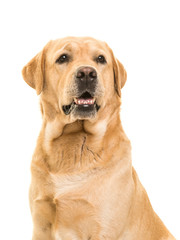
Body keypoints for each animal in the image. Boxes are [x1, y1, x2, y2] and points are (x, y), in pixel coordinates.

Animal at [21, 37, 175, 240]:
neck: (73, 144)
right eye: (63, 58)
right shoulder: (41, 226)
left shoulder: (103, 228)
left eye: (100, 59)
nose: (87, 73)